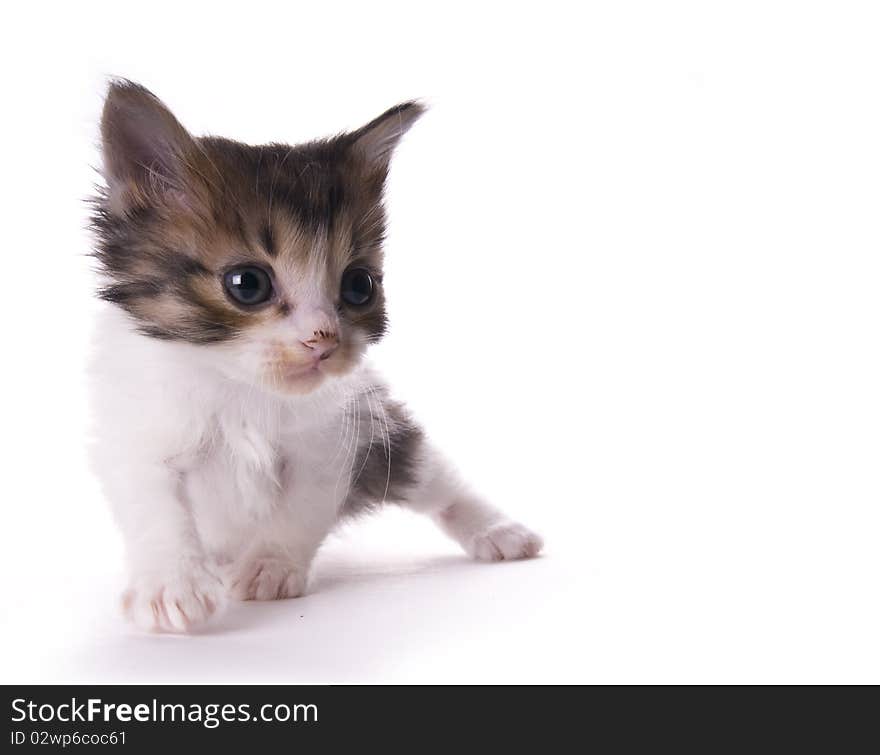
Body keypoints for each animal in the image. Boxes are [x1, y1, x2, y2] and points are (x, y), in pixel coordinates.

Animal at [91, 79, 544, 636]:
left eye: (359, 285)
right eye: (247, 283)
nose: (323, 342)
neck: (241, 388)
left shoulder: (332, 440)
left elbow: (300, 510)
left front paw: (271, 566)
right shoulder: (137, 438)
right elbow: (154, 507)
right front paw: (171, 586)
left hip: (390, 439)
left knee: (438, 481)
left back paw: (498, 531)